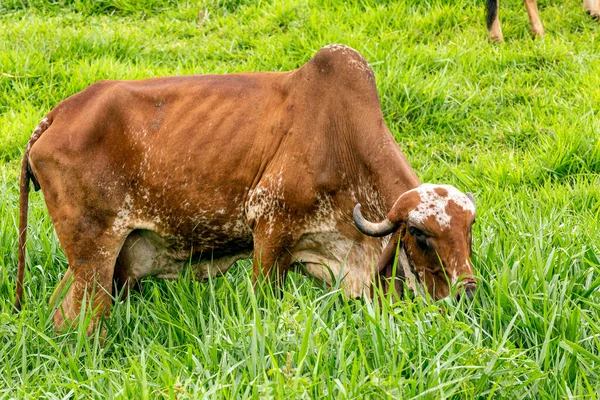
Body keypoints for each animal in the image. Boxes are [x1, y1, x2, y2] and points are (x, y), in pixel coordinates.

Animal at [14, 45, 478, 332]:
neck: (342, 139)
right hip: (94, 257)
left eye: (468, 230)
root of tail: (57, 114)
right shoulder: (271, 230)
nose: (467, 290)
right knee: (80, 321)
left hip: (101, 261)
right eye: (419, 234)